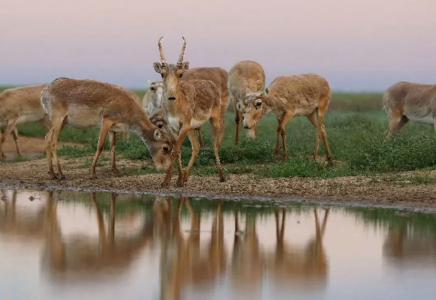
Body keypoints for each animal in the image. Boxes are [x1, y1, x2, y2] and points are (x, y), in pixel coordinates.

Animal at [41, 78, 172, 180]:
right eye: (165, 148)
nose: (164, 168)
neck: (131, 112)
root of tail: (45, 91)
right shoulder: (106, 121)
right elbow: (100, 146)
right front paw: (93, 173)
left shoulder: (113, 128)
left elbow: (113, 146)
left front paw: (116, 170)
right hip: (58, 119)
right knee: (53, 142)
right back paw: (61, 174)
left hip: (63, 121)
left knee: (47, 138)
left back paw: (52, 173)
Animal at [152, 37, 225, 186]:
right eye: (162, 73)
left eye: (180, 74)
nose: (171, 96)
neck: (175, 109)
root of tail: (211, 84)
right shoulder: (171, 127)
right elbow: (177, 150)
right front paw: (177, 179)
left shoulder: (184, 125)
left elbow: (175, 151)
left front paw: (167, 181)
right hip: (192, 129)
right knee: (196, 147)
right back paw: (185, 176)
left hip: (214, 120)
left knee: (214, 145)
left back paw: (221, 176)